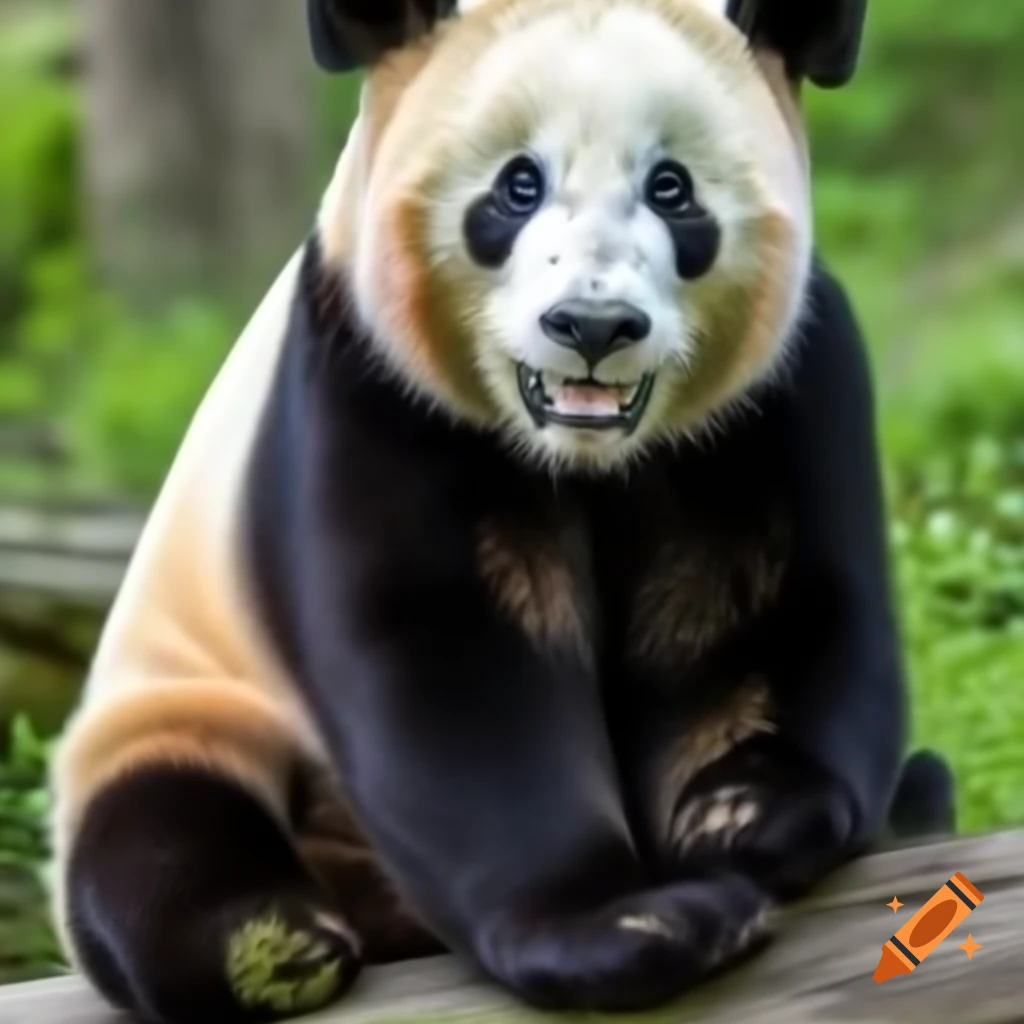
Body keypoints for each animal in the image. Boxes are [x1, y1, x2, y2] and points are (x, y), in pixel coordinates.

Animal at [50, 1, 954, 1022]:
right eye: (517, 186)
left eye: (672, 189)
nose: (592, 327)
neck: (586, 456)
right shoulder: (374, 381)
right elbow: (450, 669)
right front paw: (632, 925)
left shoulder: (776, 393)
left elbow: (764, 610)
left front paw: (739, 809)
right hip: (186, 696)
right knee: (163, 824)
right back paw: (270, 944)